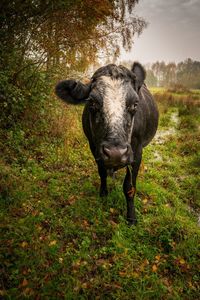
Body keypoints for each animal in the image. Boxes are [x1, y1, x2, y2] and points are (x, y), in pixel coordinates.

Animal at [55, 62, 159, 224]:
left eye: (135, 104)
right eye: (92, 102)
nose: (116, 153)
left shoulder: (137, 152)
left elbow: (129, 187)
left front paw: (131, 217)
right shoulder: (94, 147)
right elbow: (102, 172)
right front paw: (103, 194)